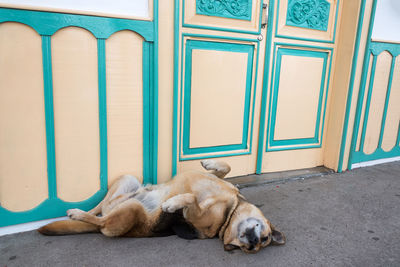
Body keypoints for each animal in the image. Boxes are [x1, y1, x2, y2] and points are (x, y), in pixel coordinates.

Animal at [38, 160, 284, 254]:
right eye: (265, 237)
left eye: (260, 244)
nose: (252, 243)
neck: (229, 213)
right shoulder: (218, 180)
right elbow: (225, 168)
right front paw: (210, 162)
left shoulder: (196, 217)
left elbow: (190, 199)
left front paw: (171, 204)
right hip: (128, 180)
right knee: (100, 207)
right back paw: (77, 212)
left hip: (131, 209)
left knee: (101, 221)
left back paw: (77, 214)